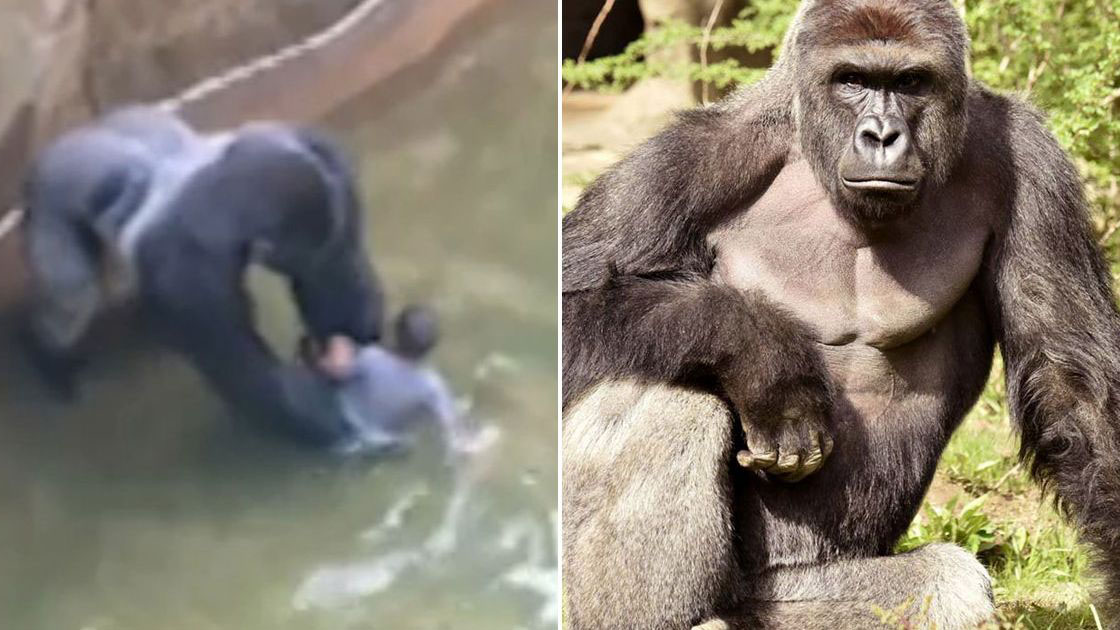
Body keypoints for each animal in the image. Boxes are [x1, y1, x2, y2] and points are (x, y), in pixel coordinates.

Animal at [20, 106, 387, 447]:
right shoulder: (186, 268)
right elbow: (241, 368)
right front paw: (335, 427)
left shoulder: (328, 167)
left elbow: (336, 281)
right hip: (50, 198)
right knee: (71, 295)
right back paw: (53, 364)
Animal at [562, 1, 1120, 628]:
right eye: (851, 80)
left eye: (911, 82)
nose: (881, 135)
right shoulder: (686, 160)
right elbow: (569, 299)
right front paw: (763, 354)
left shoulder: (1030, 162)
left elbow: (1070, 381)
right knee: (668, 395)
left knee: (946, 586)